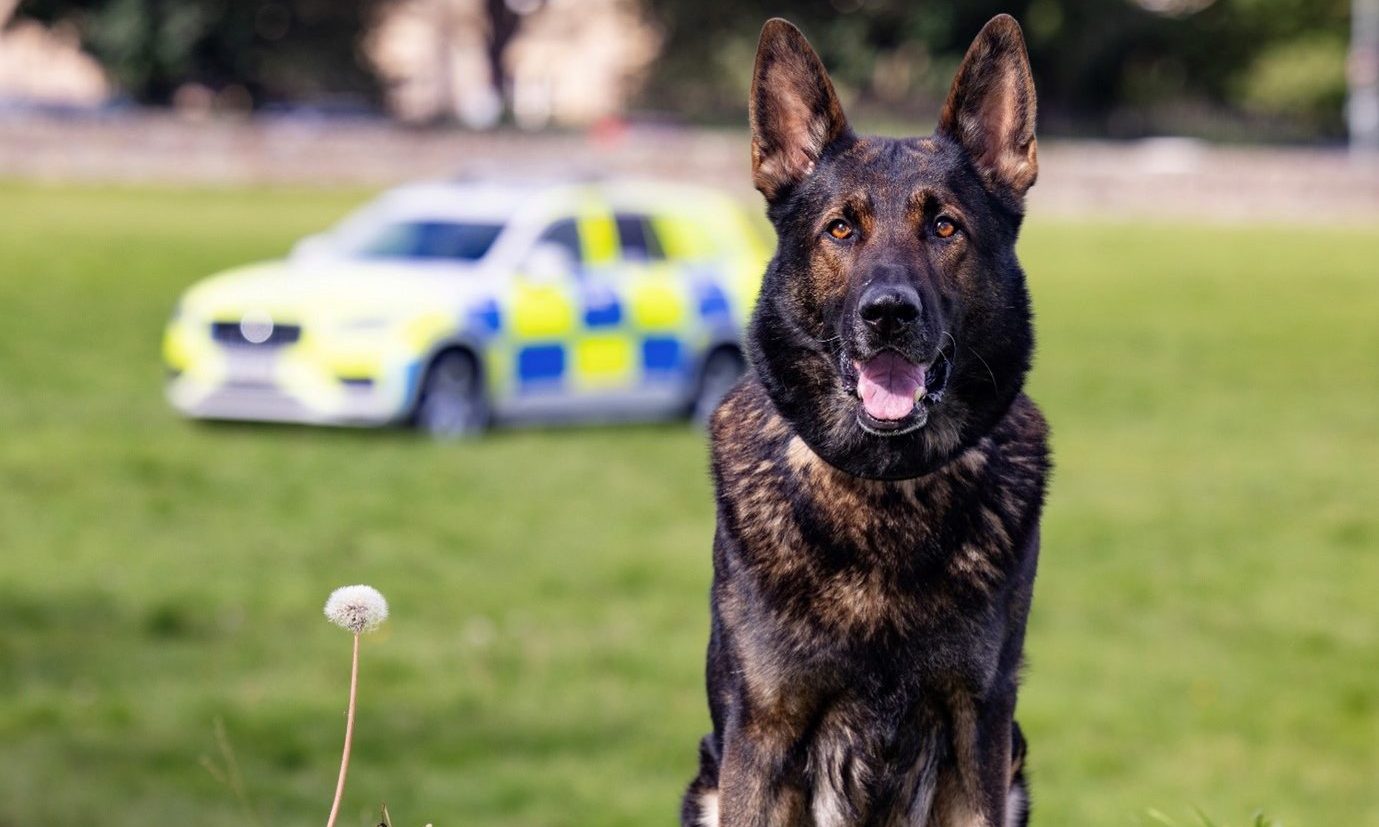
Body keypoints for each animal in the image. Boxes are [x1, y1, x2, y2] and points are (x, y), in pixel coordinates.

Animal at [683, 12, 1048, 827]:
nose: (887, 314)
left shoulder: (979, 732)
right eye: (841, 230)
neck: (884, 489)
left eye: (943, 227)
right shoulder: (763, 734)